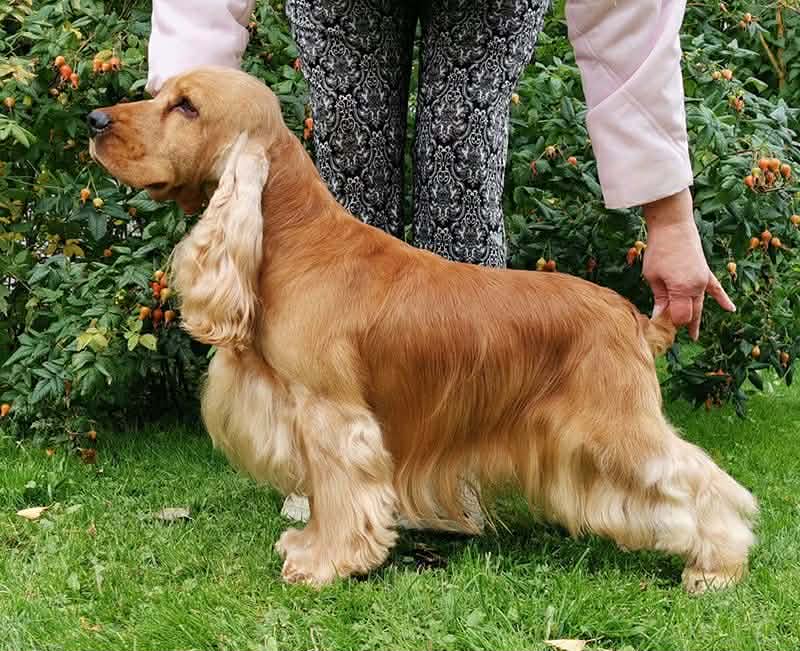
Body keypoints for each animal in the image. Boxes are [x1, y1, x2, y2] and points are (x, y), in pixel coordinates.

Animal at [88, 67, 757, 592]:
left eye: (187, 106)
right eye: (160, 93)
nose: (94, 119)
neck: (296, 241)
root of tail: (635, 319)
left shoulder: (334, 415)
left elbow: (341, 494)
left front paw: (325, 563)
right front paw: (307, 543)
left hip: (614, 426)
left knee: (701, 483)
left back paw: (717, 567)